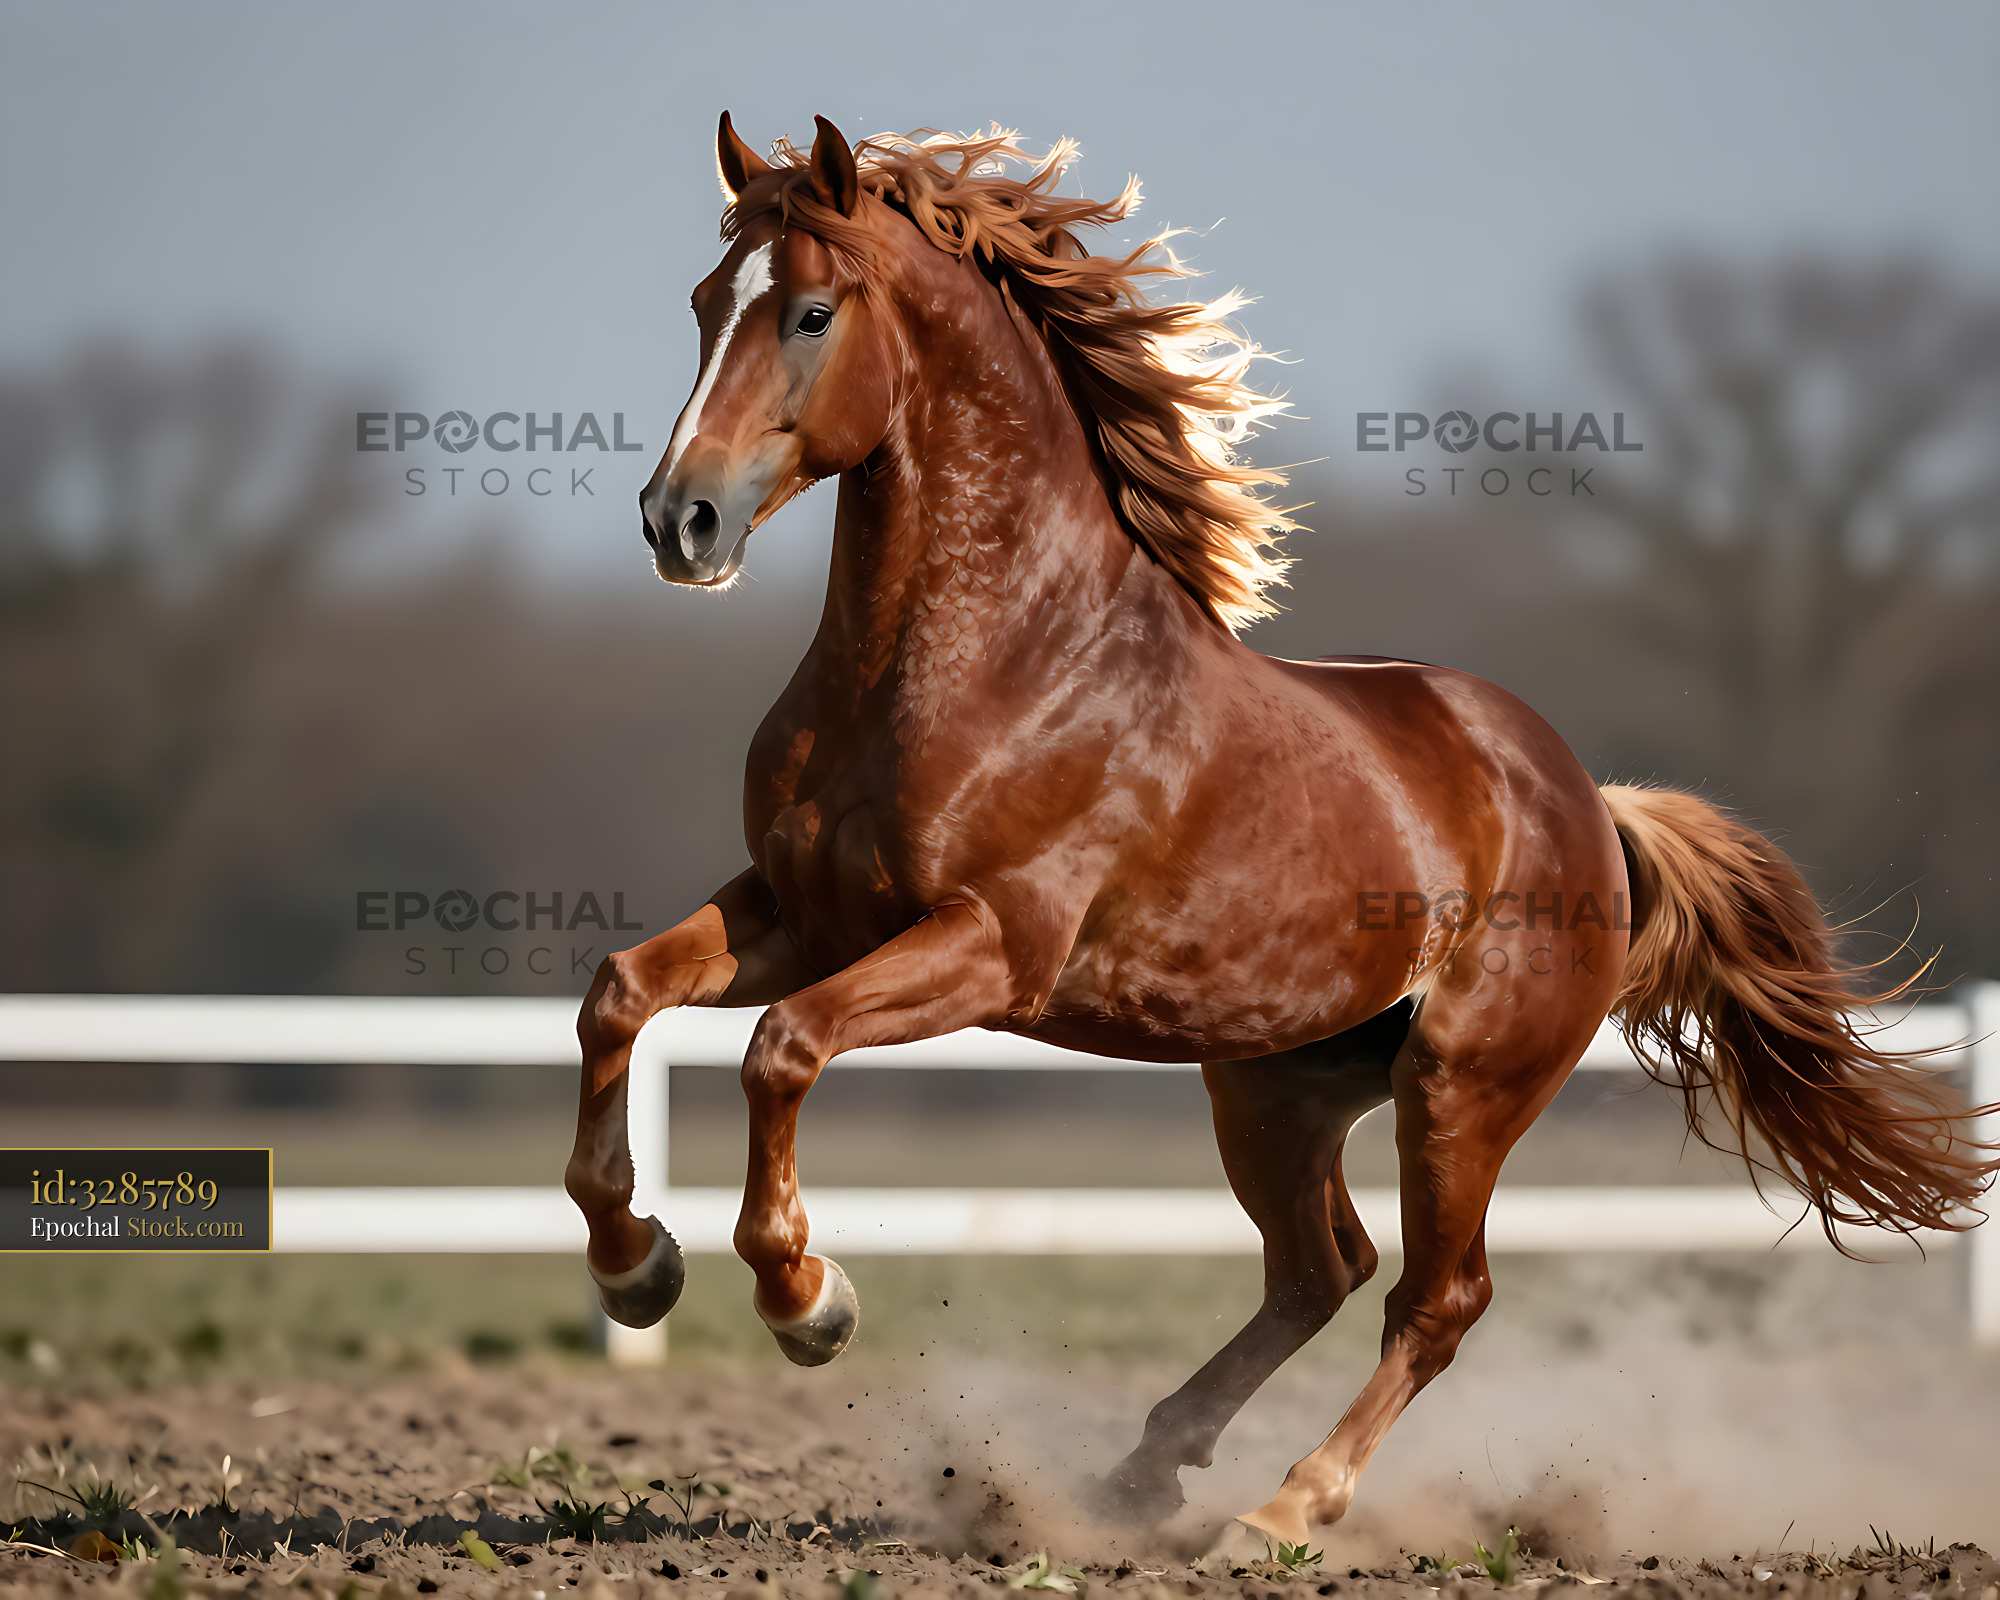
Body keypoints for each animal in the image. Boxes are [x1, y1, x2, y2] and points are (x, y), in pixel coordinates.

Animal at [563, 113, 1995, 1546]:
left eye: (810, 310)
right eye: (704, 302)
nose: (678, 520)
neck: (989, 659)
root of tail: (1590, 801)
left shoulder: (990, 946)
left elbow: (781, 1048)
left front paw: (808, 1301)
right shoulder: (800, 910)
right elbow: (620, 994)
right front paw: (636, 1270)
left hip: (1458, 1086)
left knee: (1433, 1297)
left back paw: (1286, 1507)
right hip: (1270, 1082)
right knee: (1321, 1267)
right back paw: (1140, 1474)